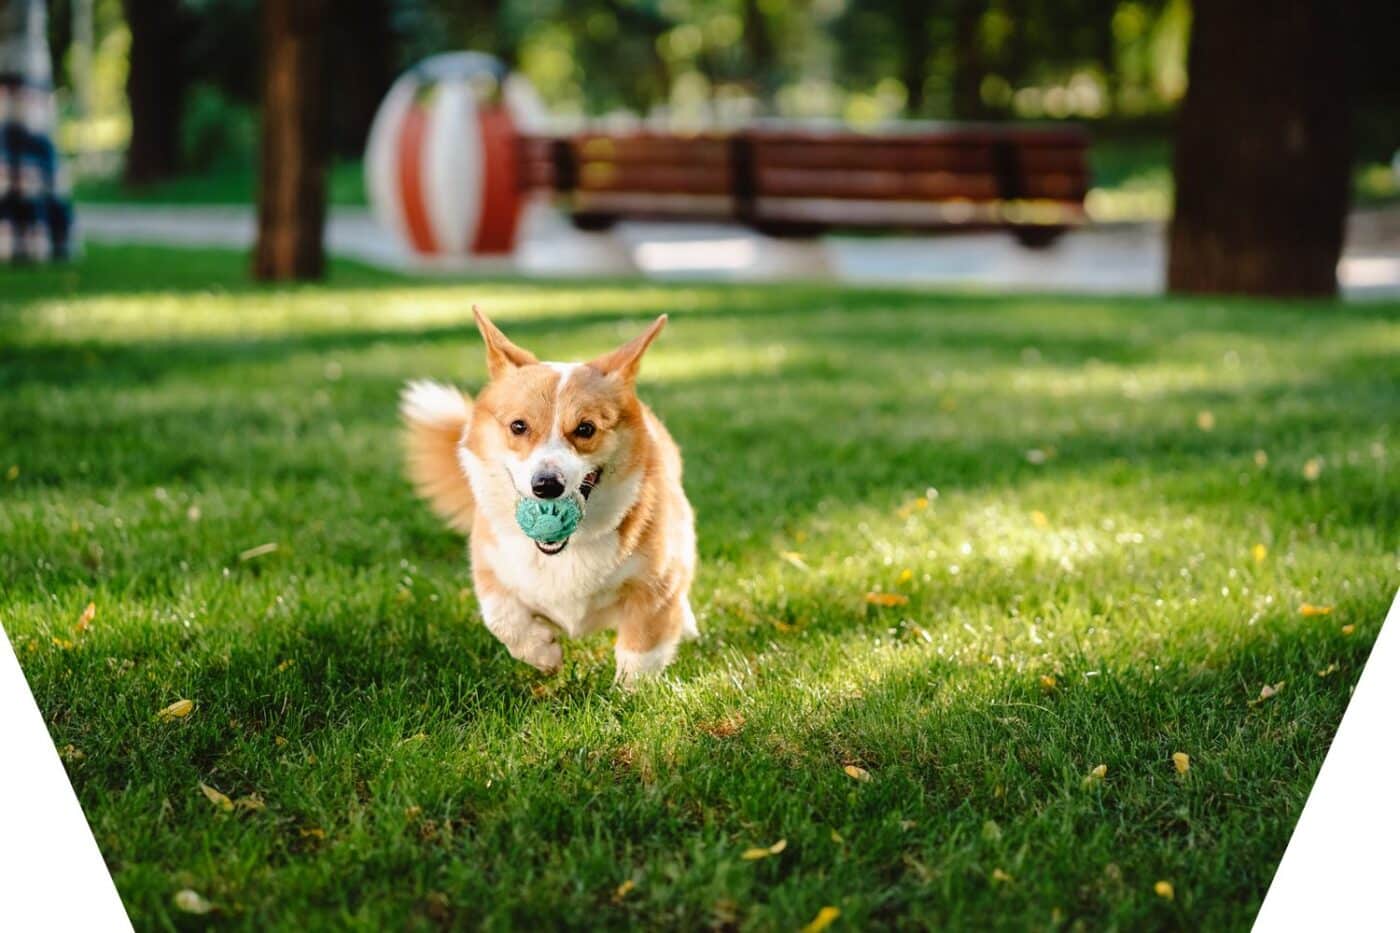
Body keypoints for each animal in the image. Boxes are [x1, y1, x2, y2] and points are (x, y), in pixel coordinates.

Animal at [400, 308, 694, 680]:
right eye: (518, 426)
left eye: (586, 429)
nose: (546, 485)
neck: (568, 549)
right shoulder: (490, 564)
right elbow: (501, 615)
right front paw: (542, 653)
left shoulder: (656, 584)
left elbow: (641, 649)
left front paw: (630, 689)